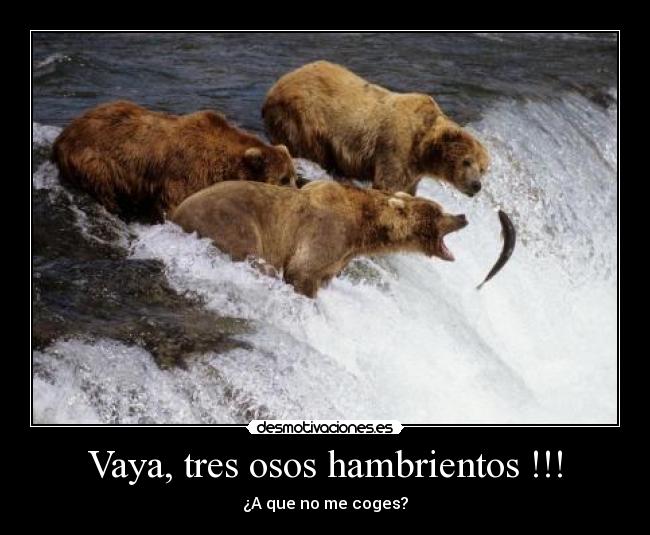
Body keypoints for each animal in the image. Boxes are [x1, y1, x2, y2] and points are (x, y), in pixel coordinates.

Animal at [52, 100, 298, 222]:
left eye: (294, 176)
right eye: (283, 179)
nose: (297, 195)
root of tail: (62, 136)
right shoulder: (185, 173)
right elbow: (174, 204)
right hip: (95, 161)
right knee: (104, 189)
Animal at [171, 180, 468, 298]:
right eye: (438, 211)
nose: (463, 216)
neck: (362, 228)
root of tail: (176, 212)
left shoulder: (339, 257)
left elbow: (325, 275)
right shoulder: (326, 232)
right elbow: (301, 270)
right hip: (230, 222)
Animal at [262, 60, 489, 196]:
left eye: (482, 168)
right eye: (467, 161)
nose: (476, 185)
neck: (423, 148)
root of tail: (276, 86)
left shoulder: (413, 170)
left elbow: (407, 189)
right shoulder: (397, 146)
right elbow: (388, 183)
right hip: (304, 117)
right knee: (312, 149)